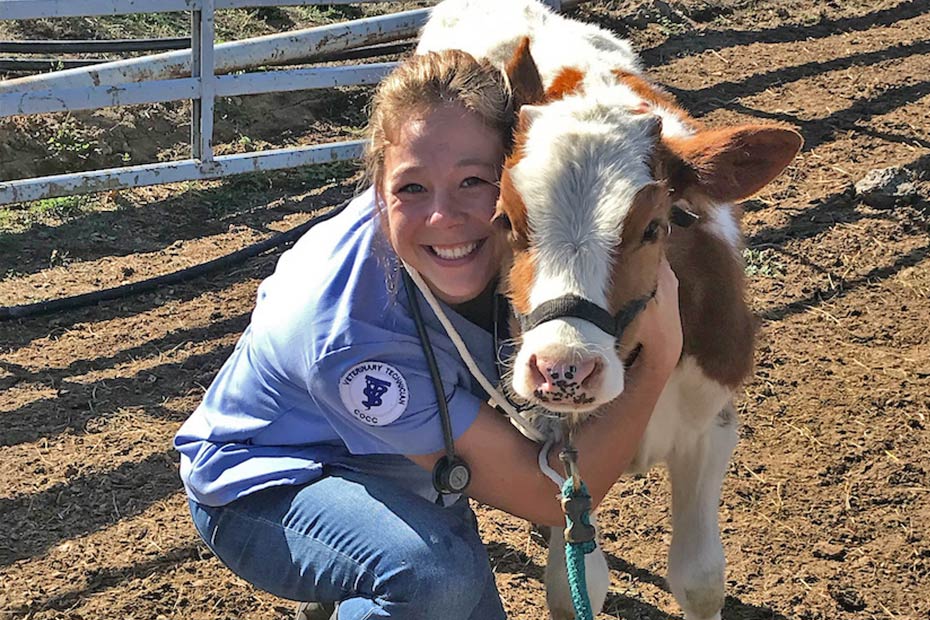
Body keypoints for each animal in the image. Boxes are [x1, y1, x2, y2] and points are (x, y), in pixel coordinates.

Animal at [418, 1, 796, 620]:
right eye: (506, 219)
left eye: (655, 227)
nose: (562, 369)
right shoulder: (560, 455)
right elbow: (572, 586)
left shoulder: (711, 422)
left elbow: (700, 579)